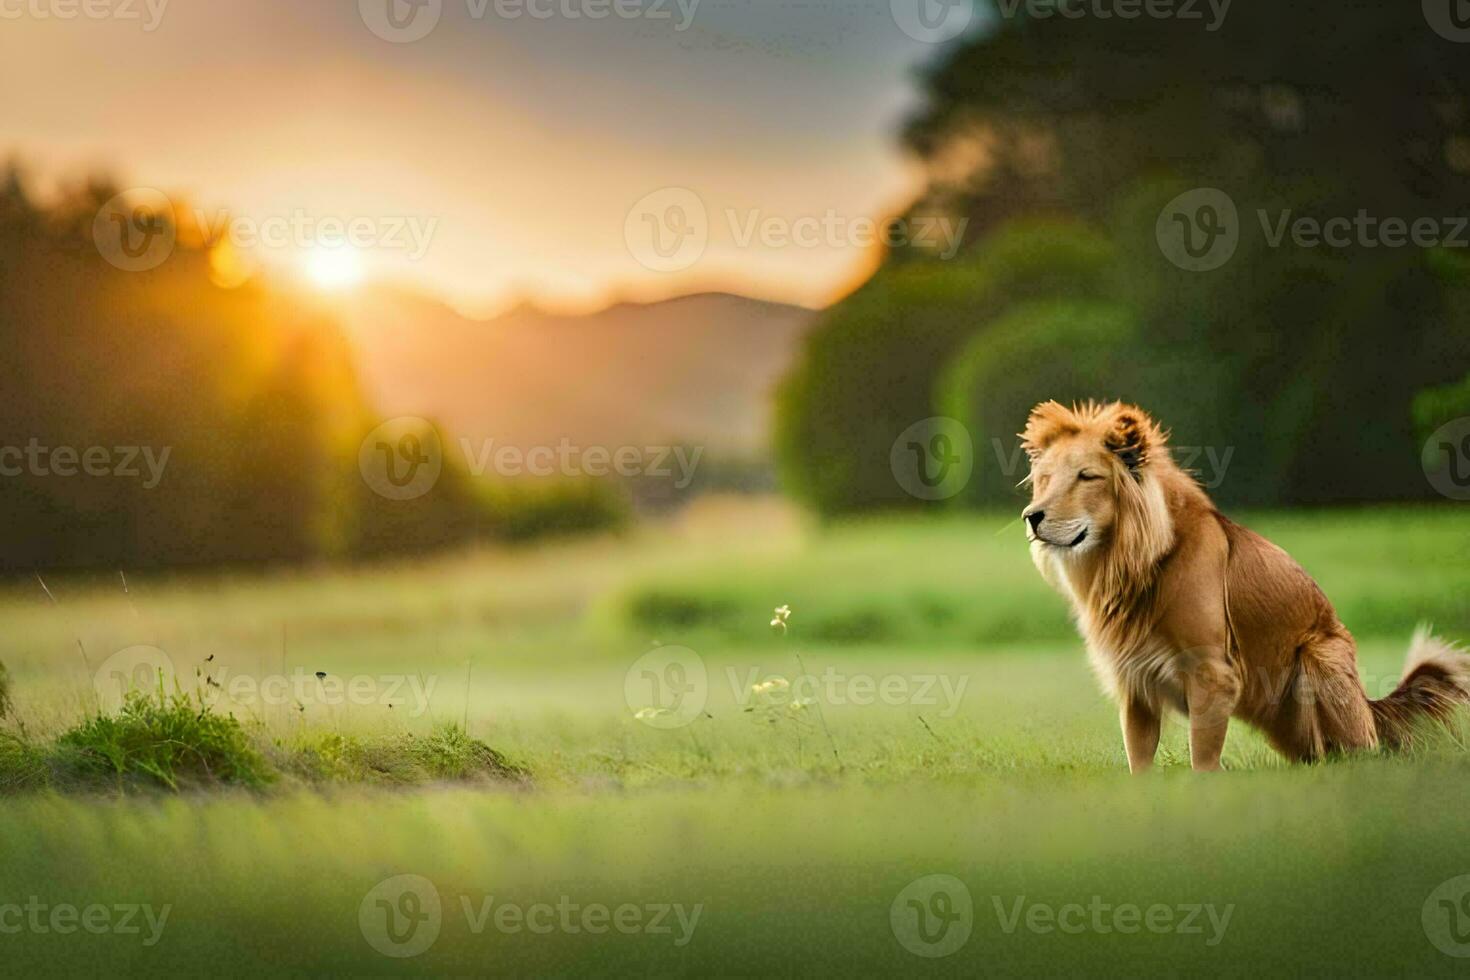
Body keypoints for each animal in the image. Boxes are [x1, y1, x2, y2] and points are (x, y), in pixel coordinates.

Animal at [1023, 399, 1470, 775]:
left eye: (1087, 477)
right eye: (1046, 479)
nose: (1031, 516)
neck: (1130, 561)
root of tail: (1368, 704)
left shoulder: (1212, 674)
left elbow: (1203, 757)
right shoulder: (1135, 682)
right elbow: (1139, 758)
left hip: (1320, 661)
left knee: (1361, 752)